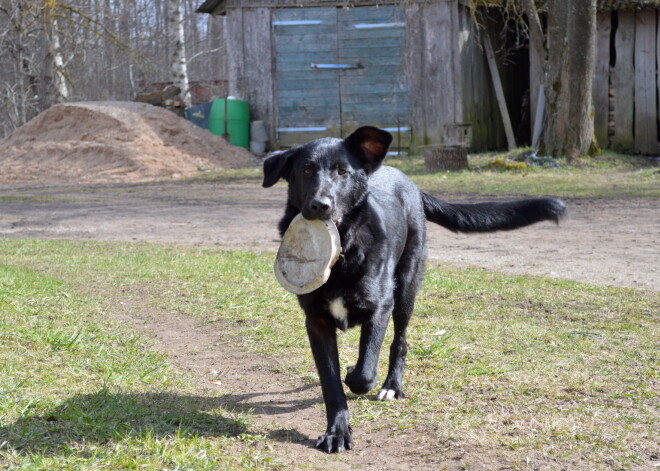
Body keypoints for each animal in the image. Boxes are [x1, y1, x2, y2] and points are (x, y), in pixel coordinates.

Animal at [262, 125, 568, 454]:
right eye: (306, 170)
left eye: (342, 171)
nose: (320, 205)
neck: (343, 252)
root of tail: (409, 183)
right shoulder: (316, 321)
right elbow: (330, 383)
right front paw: (337, 432)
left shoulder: (380, 307)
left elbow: (364, 373)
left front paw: (356, 376)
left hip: (406, 287)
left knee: (400, 341)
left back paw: (391, 387)